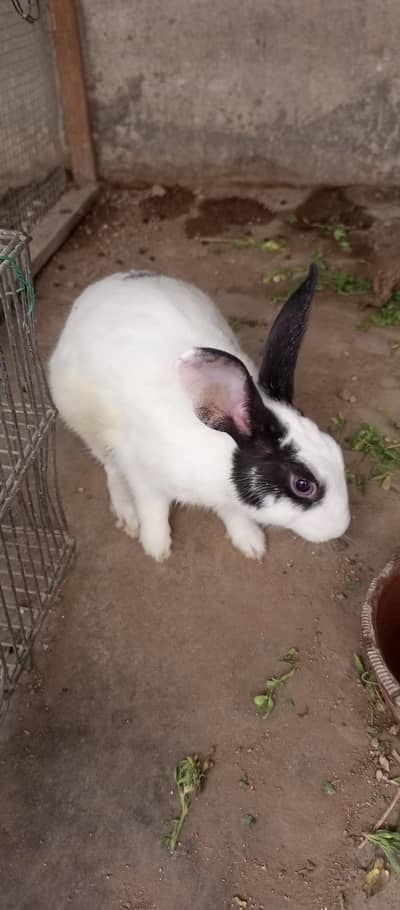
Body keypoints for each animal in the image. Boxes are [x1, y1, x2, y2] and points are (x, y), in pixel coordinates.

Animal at [48, 263, 350, 562]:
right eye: (303, 485)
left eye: (336, 449)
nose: (340, 528)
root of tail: (107, 283)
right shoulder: (144, 476)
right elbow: (153, 509)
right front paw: (156, 547)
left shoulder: (227, 500)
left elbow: (233, 514)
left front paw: (250, 543)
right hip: (87, 424)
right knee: (110, 468)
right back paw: (127, 513)